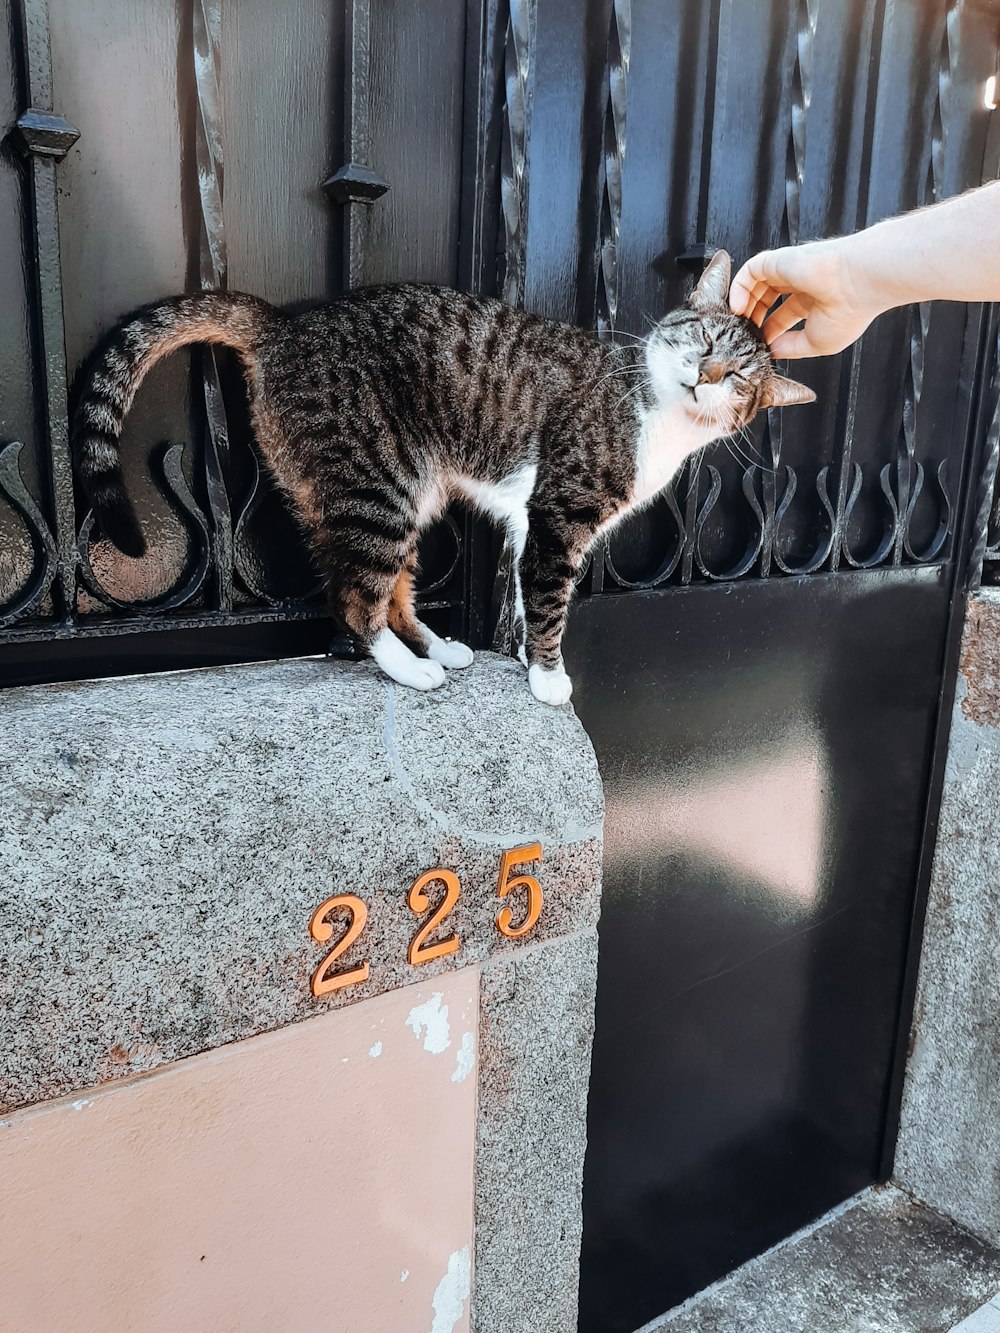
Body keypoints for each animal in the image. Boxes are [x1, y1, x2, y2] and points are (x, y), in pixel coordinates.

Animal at [76, 251, 816, 709]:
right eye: (707, 339)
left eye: (741, 377)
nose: (708, 374)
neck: (659, 414)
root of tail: (286, 326)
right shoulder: (560, 514)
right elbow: (551, 599)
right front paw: (549, 678)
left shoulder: (529, 518)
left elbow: (523, 592)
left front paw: (521, 655)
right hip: (379, 484)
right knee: (355, 597)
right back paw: (410, 669)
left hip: (407, 489)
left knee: (393, 589)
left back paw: (439, 647)